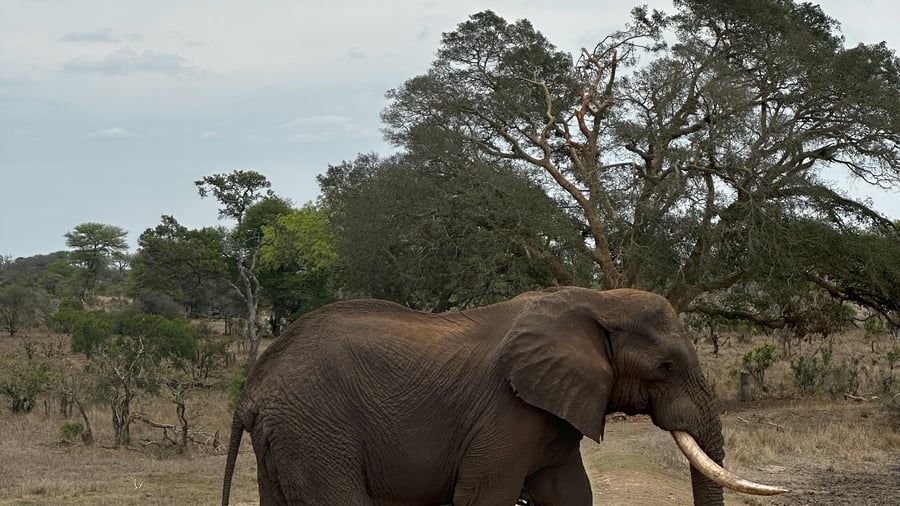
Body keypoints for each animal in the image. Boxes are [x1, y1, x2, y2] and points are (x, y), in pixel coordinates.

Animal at [222, 287, 786, 505]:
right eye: (665, 367)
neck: (595, 299)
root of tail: (252, 390)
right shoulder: (505, 414)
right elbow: (484, 496)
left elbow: (570, 493)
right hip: (317, 430)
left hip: (288, 437)